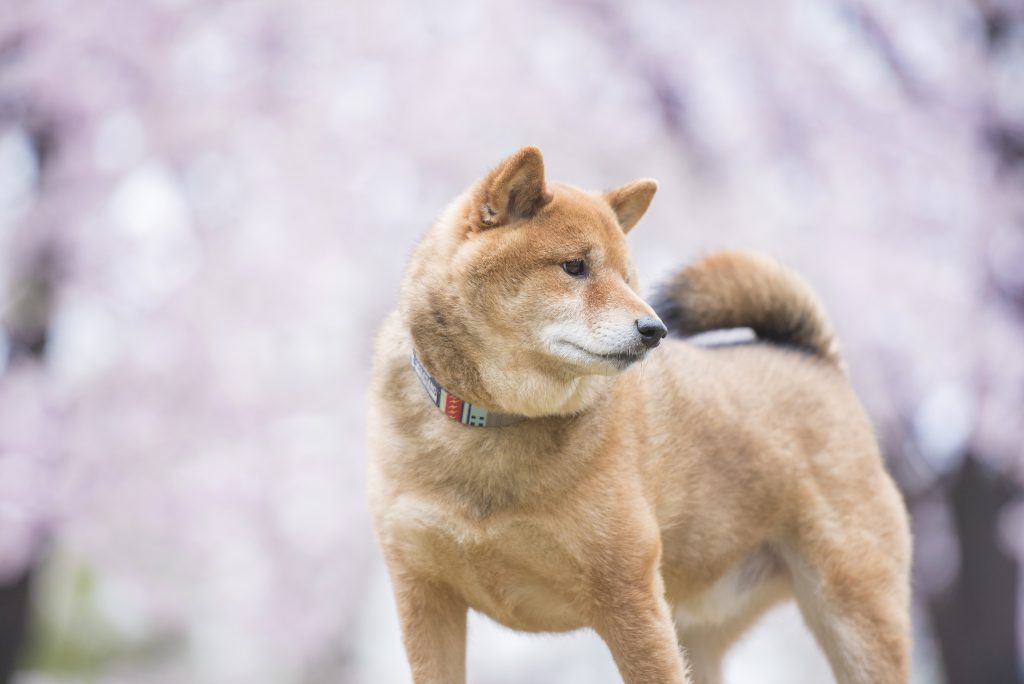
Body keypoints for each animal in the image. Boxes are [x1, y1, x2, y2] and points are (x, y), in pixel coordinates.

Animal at [368, 147, 913, 679]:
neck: (492, 424)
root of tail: (813, 358)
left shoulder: (627, 595)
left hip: (855, 619)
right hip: (701, 630)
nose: (656, 330)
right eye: (574, 266)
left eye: (628, 279)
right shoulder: (422, 594)